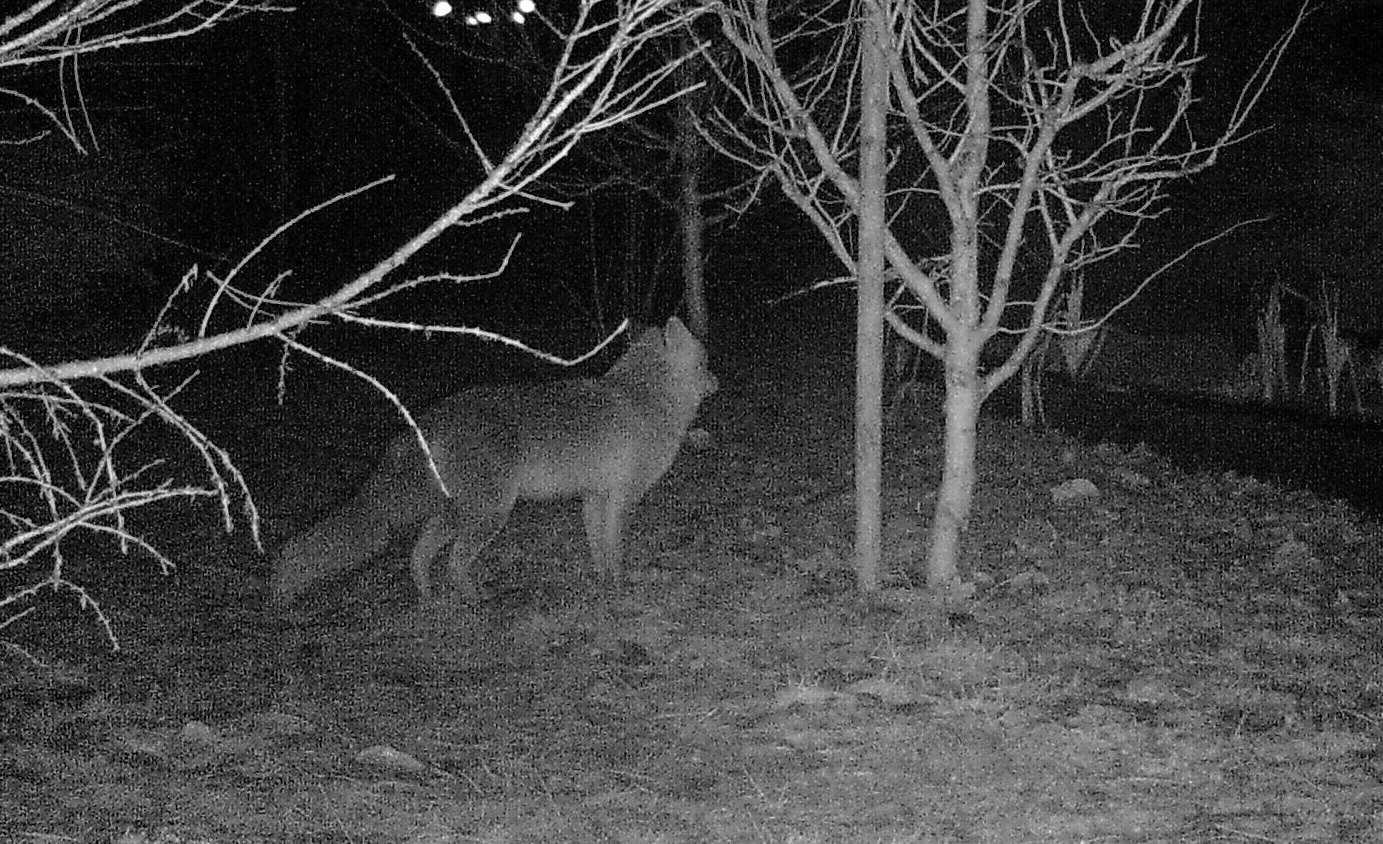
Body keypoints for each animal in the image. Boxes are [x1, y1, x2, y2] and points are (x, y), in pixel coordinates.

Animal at [268, 316, 718, 613]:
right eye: (705, 363)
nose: (719, 382)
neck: (649, 399)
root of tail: (430, 420)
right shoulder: (621, 497)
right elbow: (615, 548)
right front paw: (622, 585)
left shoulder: (594, 496)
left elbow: (598, 549)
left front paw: (604, 583)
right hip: (490, 514)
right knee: (452, 561)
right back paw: (476, 600)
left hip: (459, 513)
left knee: (420, 553)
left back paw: (430, 598)